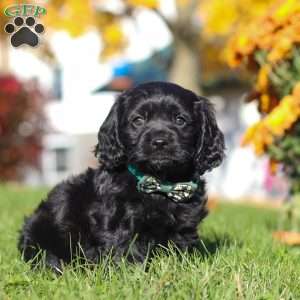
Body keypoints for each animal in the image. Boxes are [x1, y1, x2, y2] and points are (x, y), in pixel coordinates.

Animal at [18, 81, 225, 270]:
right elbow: (126, 249)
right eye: (138, 120)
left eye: (180, 120)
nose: (159, 142)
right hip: (40, 229)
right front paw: (133, 274)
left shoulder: (184, 223)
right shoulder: (119, 221)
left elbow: (179, 247)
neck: (158, 182)